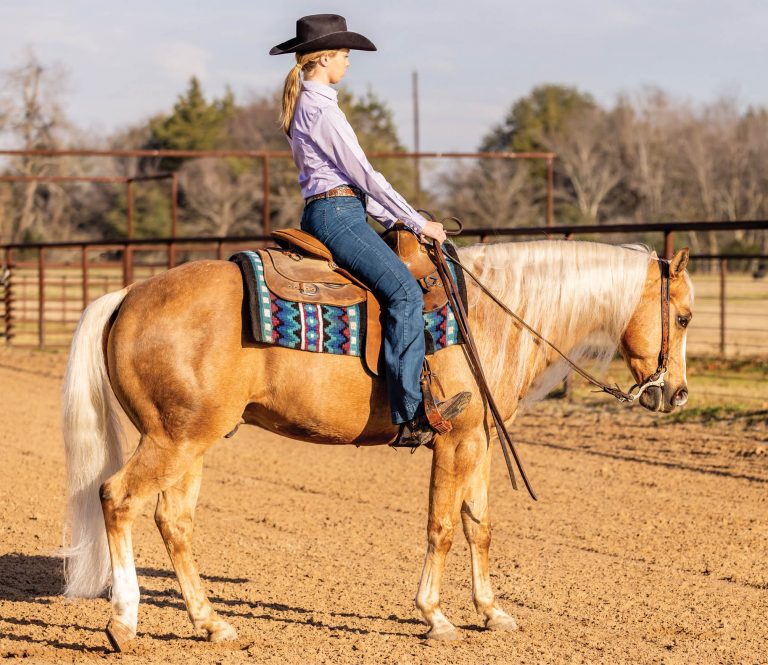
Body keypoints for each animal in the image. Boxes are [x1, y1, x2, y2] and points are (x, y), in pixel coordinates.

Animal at [60, 239, 693, 650]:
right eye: (684, 317)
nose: (678, 394)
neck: (490, 318)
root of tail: (128, 296)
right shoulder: (455, 440)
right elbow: (442, 525)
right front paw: (436, 617)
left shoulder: (479, 440)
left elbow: (478, 525)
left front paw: (492, 612)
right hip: (173, 440)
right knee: (117, 498)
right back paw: (124, 623)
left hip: (193, 443)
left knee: (174, 521)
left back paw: (212, 623)